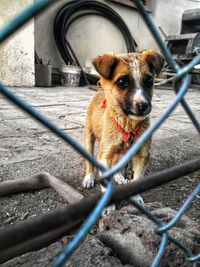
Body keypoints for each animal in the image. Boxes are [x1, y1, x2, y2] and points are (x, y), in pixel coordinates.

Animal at [82, 49, 163, 209]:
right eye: (122, 82)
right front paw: (107, 205)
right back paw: (89, 177)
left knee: (117, 164)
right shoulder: (105, 154)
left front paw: (135, 197)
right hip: (89, 138)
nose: (143, 106)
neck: (128, 124)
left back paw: (119, 176)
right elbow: (105, 182)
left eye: (149, 80)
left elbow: (137, 179)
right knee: (89, 162)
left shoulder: (143, 155)